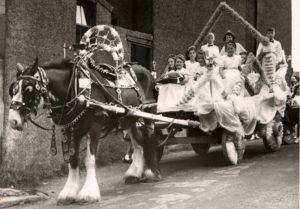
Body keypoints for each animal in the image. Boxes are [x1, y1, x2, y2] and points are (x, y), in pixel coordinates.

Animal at [8, 58, 161, 205]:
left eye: (28, 89)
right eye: (13, 90)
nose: (12, 121)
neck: (77, 91)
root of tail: (145, 70)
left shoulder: (93, 130)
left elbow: (89, 160)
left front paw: (89, 193)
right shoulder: (70, 130)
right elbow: (73, 160)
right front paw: (69, 193)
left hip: (148, 116)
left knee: (149, 139)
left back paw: (152, 172)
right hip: (129, 119)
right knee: (138, 143)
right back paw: (134, 173)